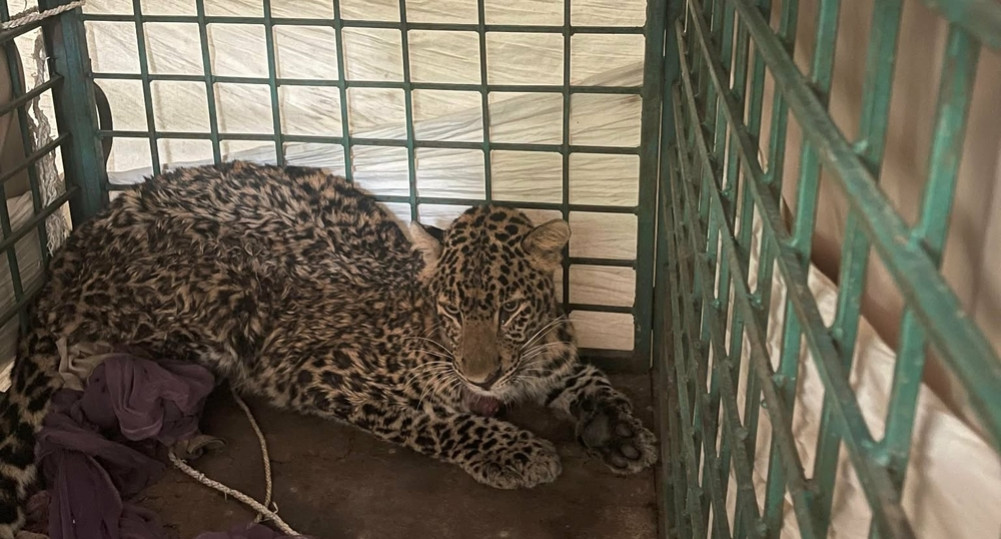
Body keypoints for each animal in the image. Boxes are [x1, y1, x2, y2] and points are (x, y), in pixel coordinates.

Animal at [0, 161, 658, 536]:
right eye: (451, 313)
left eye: (509, 312)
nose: (483, 380)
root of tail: (74, 244)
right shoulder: (322, 369)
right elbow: (436, 422)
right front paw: (514, 451)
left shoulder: (552, 355)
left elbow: (589, 380)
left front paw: (619, 432)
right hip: (220, 292)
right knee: (92, 361)